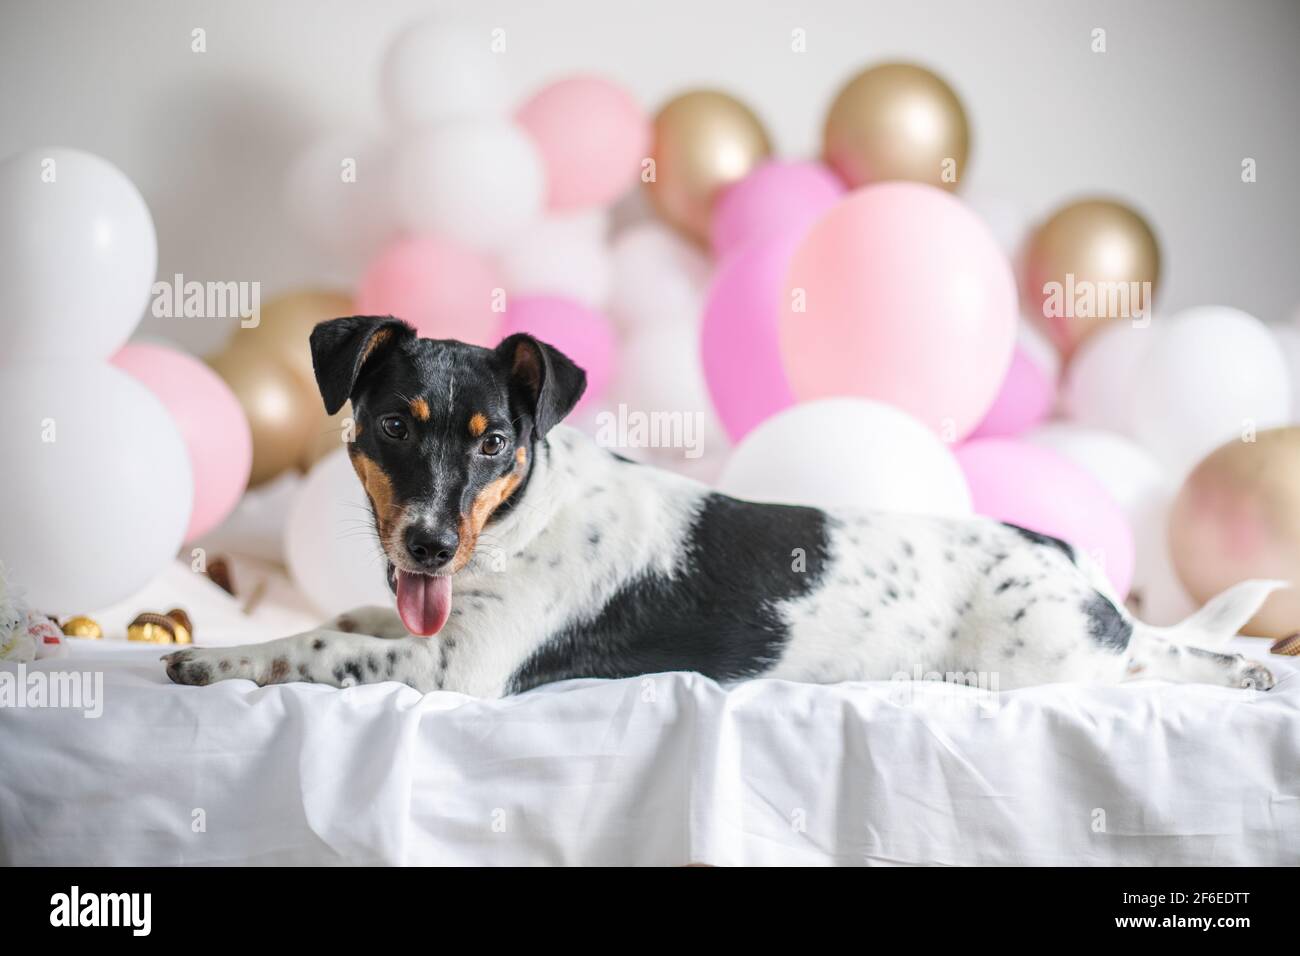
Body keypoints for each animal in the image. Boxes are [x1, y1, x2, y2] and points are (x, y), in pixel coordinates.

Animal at [162, 317, 1279, 697]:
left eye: (493, 444)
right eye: (394, 425)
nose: (429, 546)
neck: (519, 523)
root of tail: (1063, 554)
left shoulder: (457, 670)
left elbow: (313, 645)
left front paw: (216, 661)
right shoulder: (422, 619)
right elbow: (339, 617)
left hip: (1034, 656)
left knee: (1135, 653)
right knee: (1160, 648)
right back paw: (1249, 669)